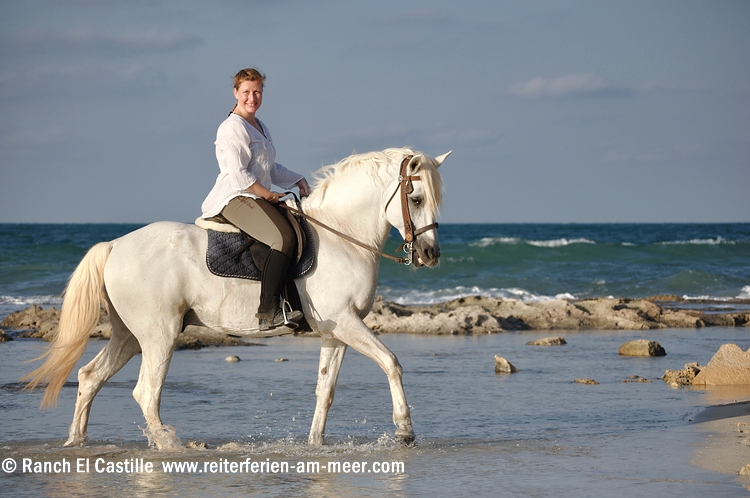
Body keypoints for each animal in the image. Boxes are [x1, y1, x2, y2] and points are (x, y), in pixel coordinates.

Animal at [22, 146, 446, 450]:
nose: (430, 255)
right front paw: (405, 431)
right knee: (145, 393)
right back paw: (172, 444)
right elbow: (391, 363)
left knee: (89, 377)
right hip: (159, 335)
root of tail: (113, 246)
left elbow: (325, 391)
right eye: (416, 197)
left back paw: (77, 441)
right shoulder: (346, 323)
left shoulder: (335, 332)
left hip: (128, 335)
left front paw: (315, 444)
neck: (342, 234)